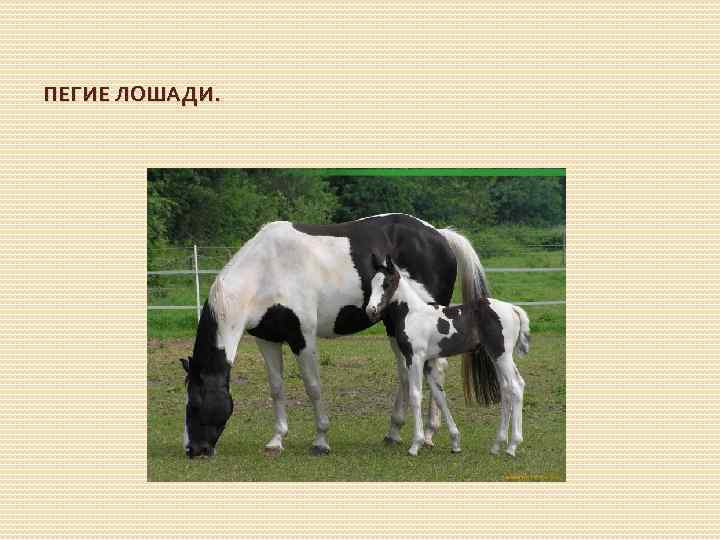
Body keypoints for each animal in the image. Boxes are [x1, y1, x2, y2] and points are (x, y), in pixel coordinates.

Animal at [179, 213, 497, 459]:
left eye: (194, 404)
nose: (194, 450)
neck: (266, 269)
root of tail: (439, 235)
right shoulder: (266, 339)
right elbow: (277, 388)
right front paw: (276, 440)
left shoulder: (303, 337)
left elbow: (313, 387)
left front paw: (321, 440)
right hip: (396, 326)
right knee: (406, 374)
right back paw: (395, 432)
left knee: (435, 369)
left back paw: (429, 434)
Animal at [366, 254, 530, 456]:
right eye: (372, 283)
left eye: (387, 284)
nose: (371, 310)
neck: (413, 313)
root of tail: (514, 309)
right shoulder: (428, 364)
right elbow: (440, 396)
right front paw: (455, 442)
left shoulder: (415, 359)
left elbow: (415, 395)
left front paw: (416, 444)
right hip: (495, 356)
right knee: (507, 388)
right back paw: (497, 445)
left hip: (502, 355)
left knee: (515, 386)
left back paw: (513, 446)